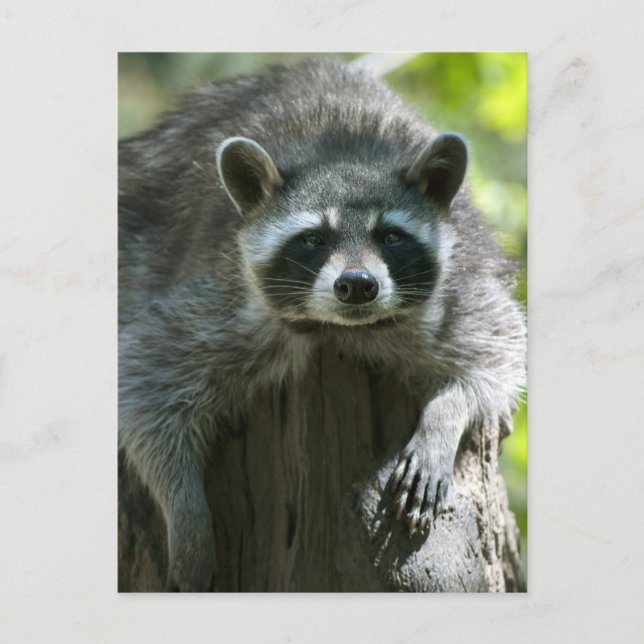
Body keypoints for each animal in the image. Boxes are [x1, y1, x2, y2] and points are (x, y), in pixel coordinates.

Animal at [119, 58, 526, 592]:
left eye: (390, 236)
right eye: (314, 238)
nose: (357, 285)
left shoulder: (460, 288)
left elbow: (494, 354)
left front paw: (443, 418)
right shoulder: (222, 298)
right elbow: (145, 382)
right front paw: (185, 510)